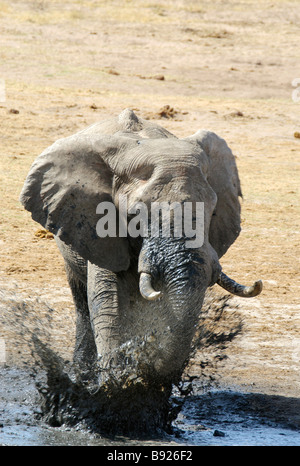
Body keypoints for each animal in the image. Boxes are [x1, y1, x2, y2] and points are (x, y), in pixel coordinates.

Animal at [19, 108, 262, 390]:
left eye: (212, 211)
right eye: (134, 214)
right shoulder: (99, 229)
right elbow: (108, 302)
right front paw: (117, 386)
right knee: (82, 303)